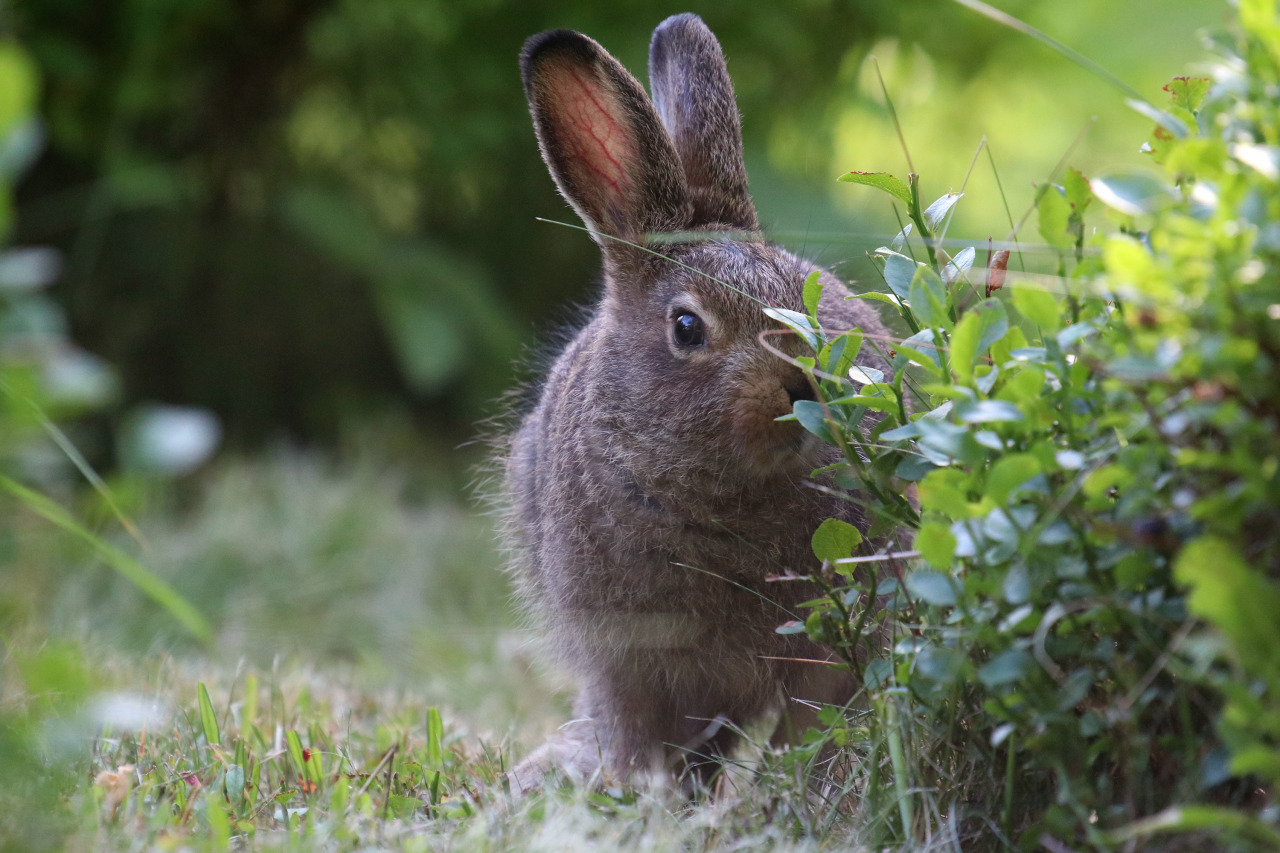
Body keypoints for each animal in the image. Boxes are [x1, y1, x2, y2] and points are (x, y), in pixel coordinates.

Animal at [504, 13, 896, 794]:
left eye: (804, 298)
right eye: (687, 327)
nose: (802, 384)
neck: (708, 492)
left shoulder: (820, 648)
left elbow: (809, 722)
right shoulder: (626, 656)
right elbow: (638, 733)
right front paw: (640, 794)